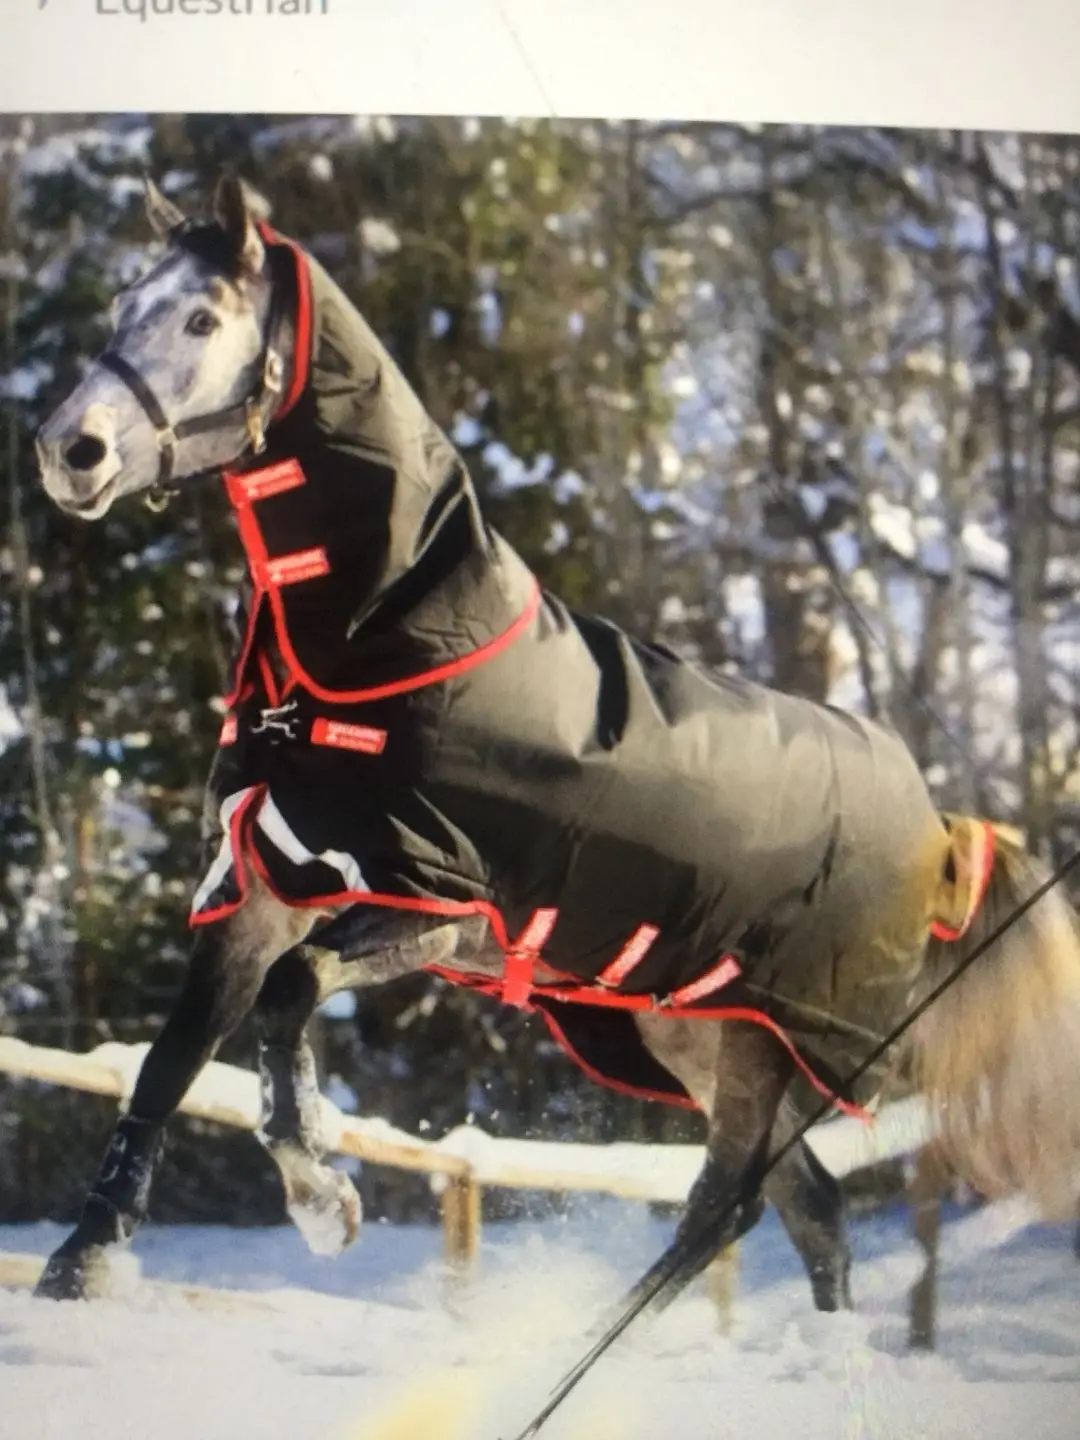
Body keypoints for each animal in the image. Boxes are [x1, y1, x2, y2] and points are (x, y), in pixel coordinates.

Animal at [31, 174, 1080, 1325]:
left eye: (201, 319)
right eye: (124, 303)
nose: (69, 450)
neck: (376, 654)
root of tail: (942, 833)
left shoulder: (431, 906)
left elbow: (291, 995)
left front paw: (322, 1202)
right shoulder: (256, 894)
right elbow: (170, 1064)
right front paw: (84, 1260)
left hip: (774, 1046)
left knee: (730, 1204)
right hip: (692, 1034)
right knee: (805, 1206)